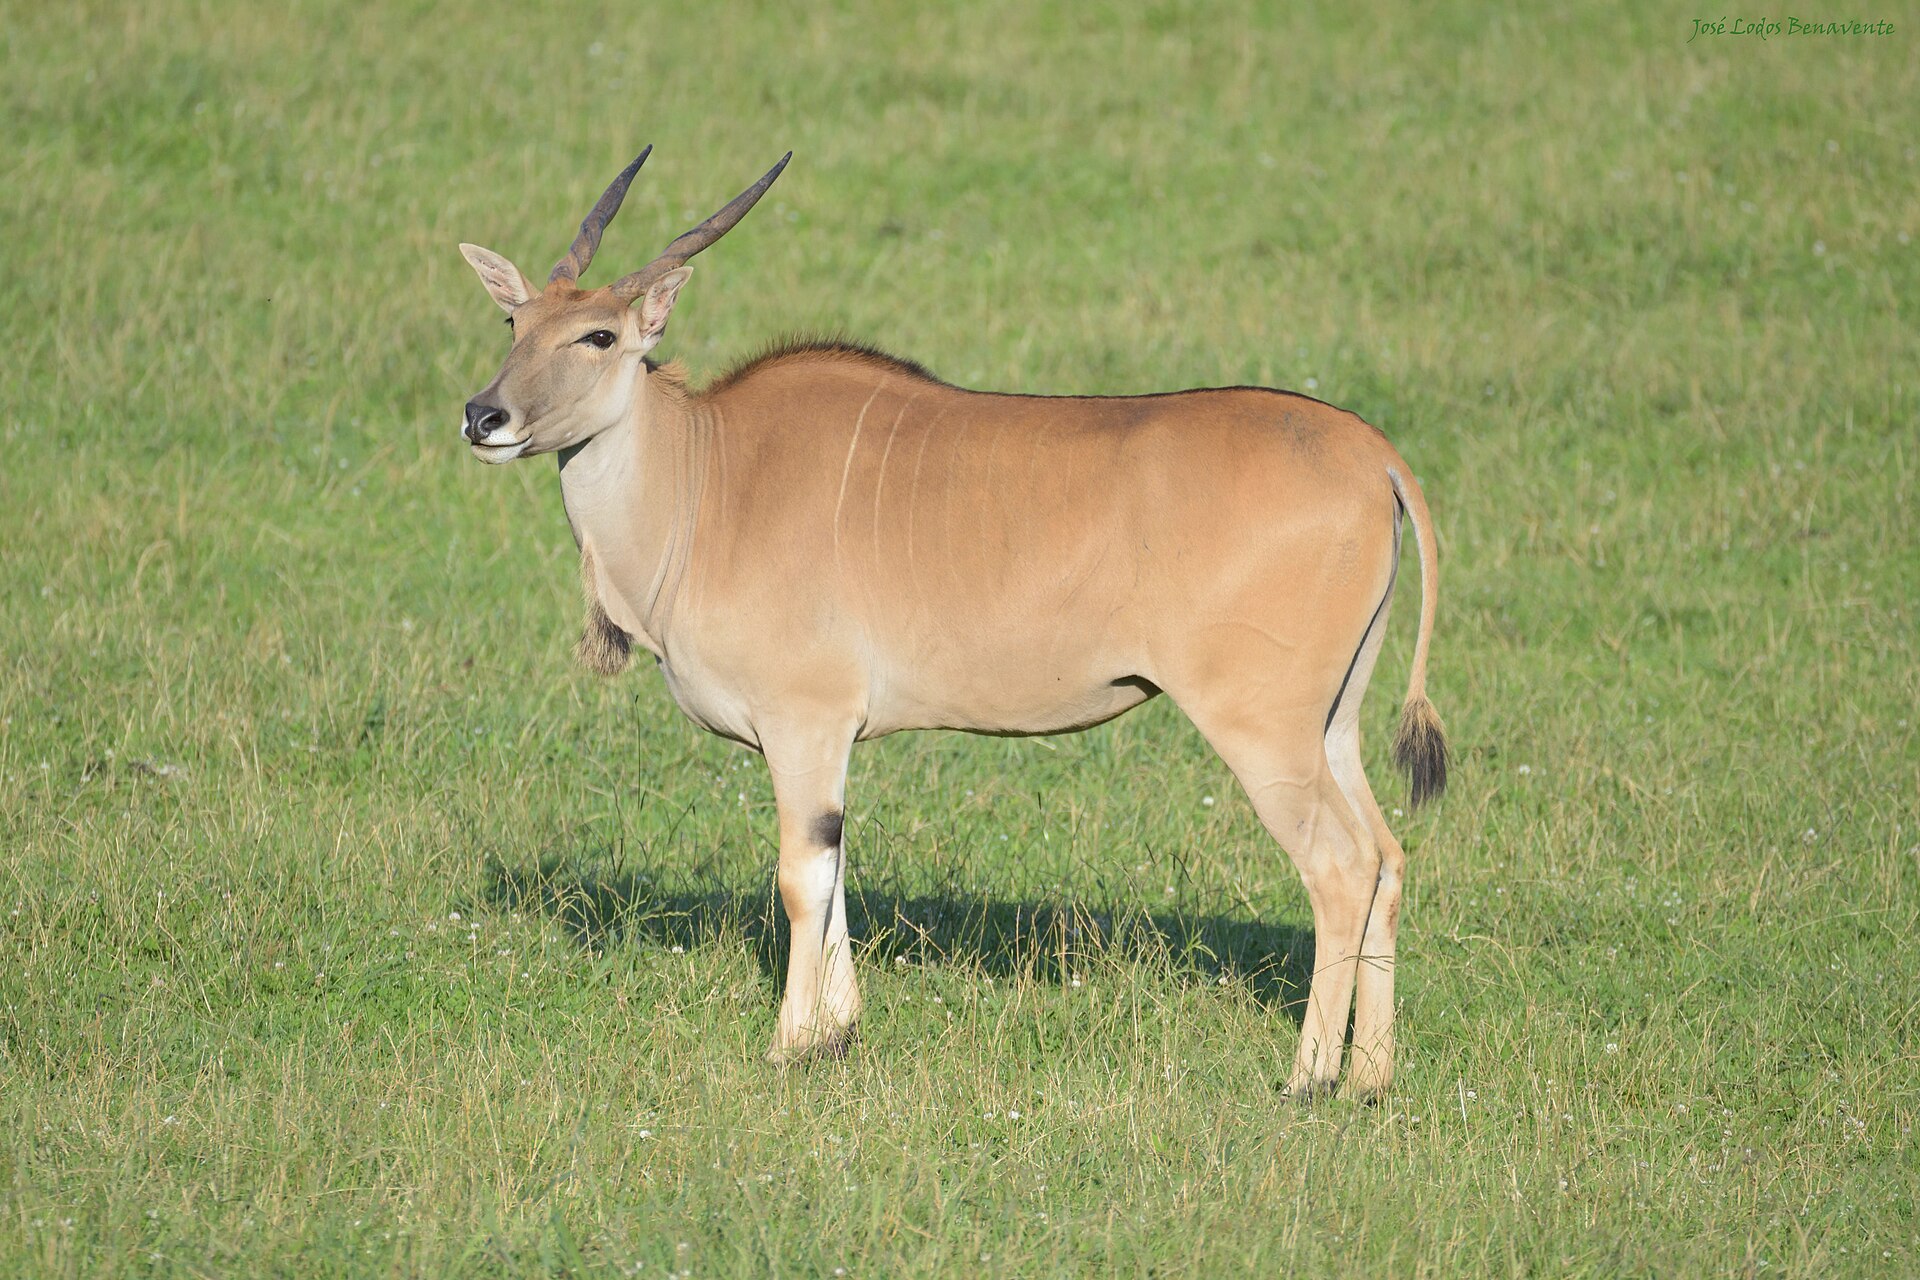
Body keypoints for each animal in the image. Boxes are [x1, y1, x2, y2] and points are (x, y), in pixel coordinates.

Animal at [456, 146, 1448, 1099]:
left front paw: (789, 1047)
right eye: (513, 326)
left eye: (599, 335)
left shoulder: (803, 722)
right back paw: (1371, 1076)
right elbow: (835, 868)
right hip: (1333, 725)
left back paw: (1310, 1078)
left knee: (1339, 868)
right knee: (1388, 857)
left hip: (1263, 728)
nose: (482, 416)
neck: (707, 472)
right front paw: (838, 1036)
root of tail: (1372, 453)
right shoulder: (828, 741)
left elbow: (801, 878)